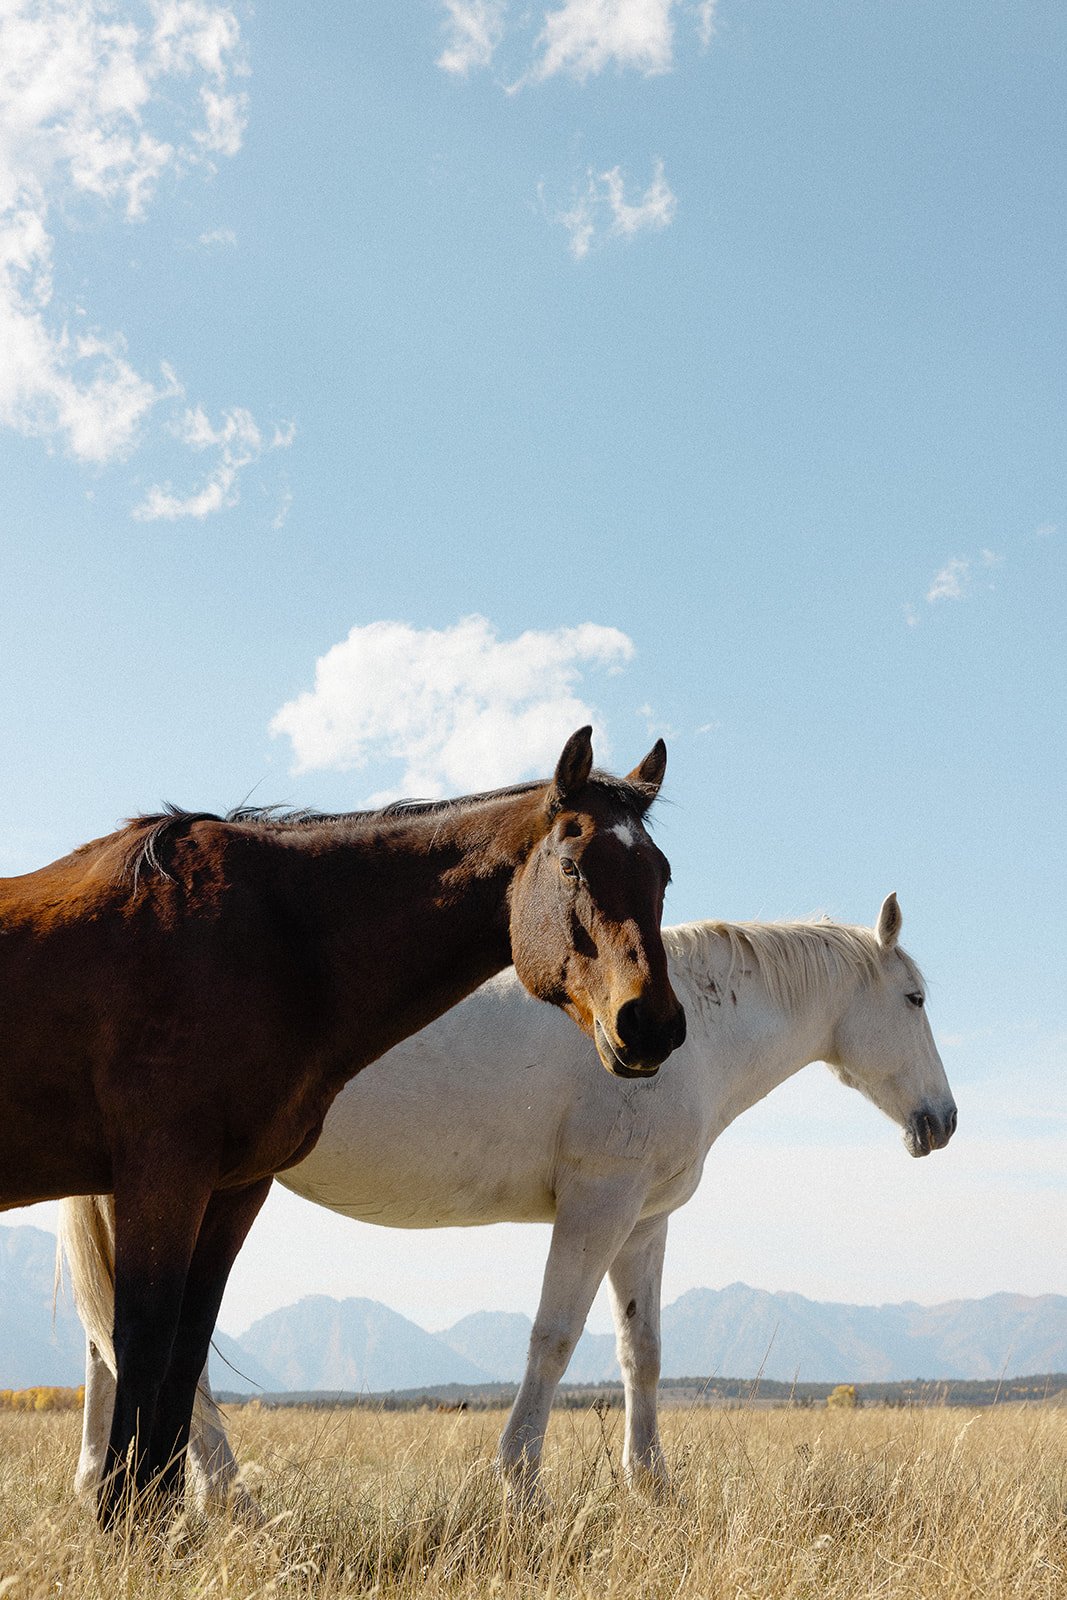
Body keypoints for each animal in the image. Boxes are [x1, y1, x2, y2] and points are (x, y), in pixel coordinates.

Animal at [1, 727, 686, 1523]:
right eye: (573, 863)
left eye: (662, 874)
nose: (651, 1024)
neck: (272, 942)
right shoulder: (161, 1171)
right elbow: (145, 1337)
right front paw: (125, 1521)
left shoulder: (234, 1187)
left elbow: (186, 1346)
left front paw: (160, 1517)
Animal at [63, 892, 955, 1508]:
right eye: (914, 999)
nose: (941, 1122)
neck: (691, 1033)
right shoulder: (597, 1203)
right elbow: (553, 1341)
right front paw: (522, 1484)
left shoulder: (643, 1224)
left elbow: (642, 1354)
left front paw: (651, 1487)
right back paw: (228, 1496)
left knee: (110, 1342)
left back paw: (110, 1488)